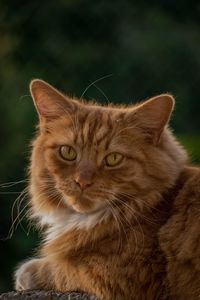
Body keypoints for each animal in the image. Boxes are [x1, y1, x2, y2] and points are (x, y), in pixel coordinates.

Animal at [14, 79, 200, 300]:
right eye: (68, 152)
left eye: (113, 159)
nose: (82, 182)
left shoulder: (113, 276)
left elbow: (57, 269)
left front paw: (25, 273)